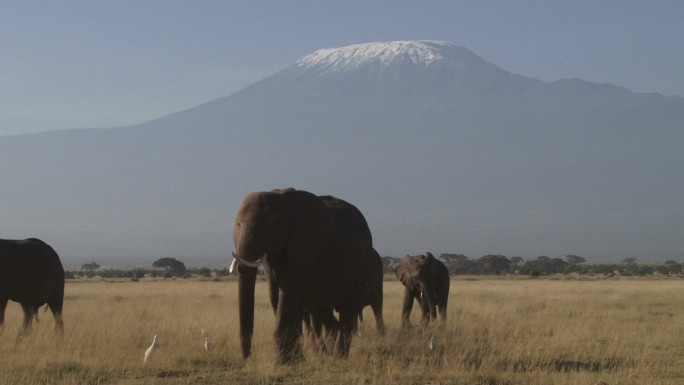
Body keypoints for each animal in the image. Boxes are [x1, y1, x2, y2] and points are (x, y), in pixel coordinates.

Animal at [232, 189, 376, 364]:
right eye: (237, 224)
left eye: (276, 223)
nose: (248, 357)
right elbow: (275, 293)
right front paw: (296, 360)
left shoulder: (305, 247)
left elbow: (289, 292)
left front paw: (285, 363)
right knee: (320, 309)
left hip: (362, 264)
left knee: (348, 308)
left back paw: (339, 357)